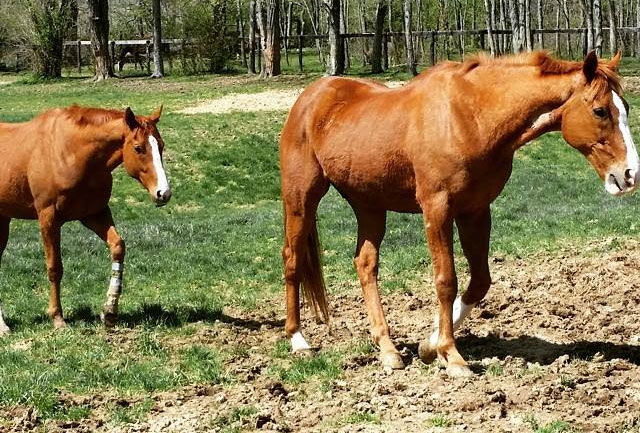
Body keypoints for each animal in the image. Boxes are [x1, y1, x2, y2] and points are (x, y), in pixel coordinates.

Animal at [0, 105, 171, 334]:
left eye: (161, 145)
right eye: (138, 148)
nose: (164, 193)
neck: (71, 152)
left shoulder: (94, 214)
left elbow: (118, 246)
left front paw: (110, 311)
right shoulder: (48, 218)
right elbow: (54, 268)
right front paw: (57, 318)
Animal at [282, 49, 640, 374]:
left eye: (625, 108)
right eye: (600, 110)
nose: (630, 174)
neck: (470, 117)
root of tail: (310, 98)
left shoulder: (476, 211)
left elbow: (480, 281)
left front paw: (429, 345)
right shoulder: (437, 209)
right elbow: (446, 280)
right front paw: (451, 356)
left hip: (369, 205)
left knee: (365, 265)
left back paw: (388, 350)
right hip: (301, 200)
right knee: (293, 259)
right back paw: (298, 340)